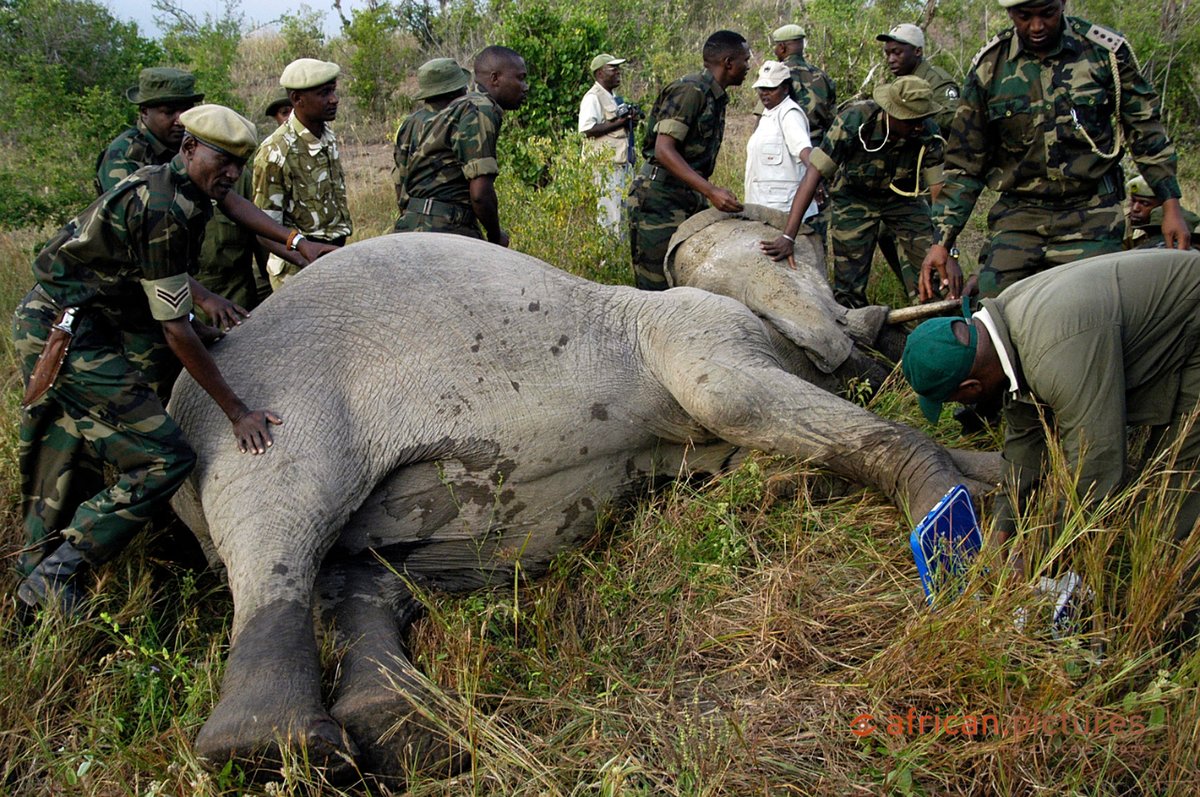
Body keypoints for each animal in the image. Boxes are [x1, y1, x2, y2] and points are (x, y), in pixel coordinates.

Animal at [166, 220, 993, 782]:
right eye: (794, 256)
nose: (880, 329)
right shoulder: (695, 328)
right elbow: (735, 398)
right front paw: (962, 508)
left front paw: (992, 475)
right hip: (270, 415)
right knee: (282, 528)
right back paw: (268, 748)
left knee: (365, 575)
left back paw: (403, 729)